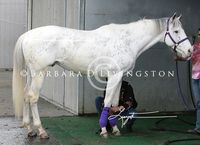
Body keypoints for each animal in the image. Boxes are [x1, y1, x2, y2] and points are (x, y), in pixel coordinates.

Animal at [12, 13, 192, 139]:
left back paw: (30, 129)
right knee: (33, 98)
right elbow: (107, 102)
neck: (127, 40)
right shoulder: (113, 76)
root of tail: (27, 35)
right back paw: (41, 131)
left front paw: (115, 128)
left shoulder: (119, 77)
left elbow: (115, 103)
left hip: (31, 73)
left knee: (26, 95)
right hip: (39, 73)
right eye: (176, 31)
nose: (190, 51)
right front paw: (105, 130)